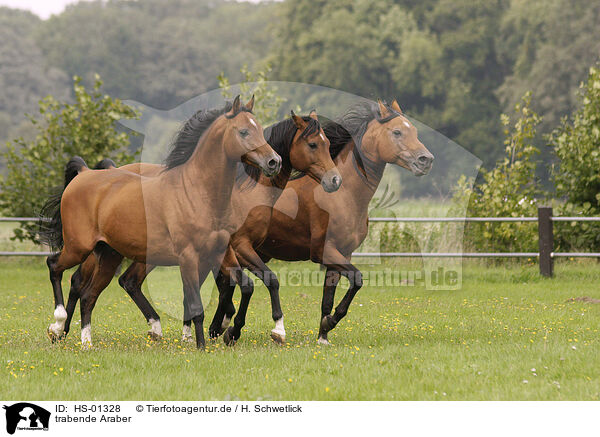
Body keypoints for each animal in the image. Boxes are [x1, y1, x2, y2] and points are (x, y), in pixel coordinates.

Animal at [59, 110, 342, 348]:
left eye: (327, 144)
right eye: (313, 144)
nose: (334, 180)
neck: (246, 194)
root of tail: (93, 173)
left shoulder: (223, 253)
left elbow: (222, 288)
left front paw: (211, 330)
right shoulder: (238, 247)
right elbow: (252, 284)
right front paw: (241, 330)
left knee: (104, 282)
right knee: (89, 280)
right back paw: (61, 328)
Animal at [210, 99, 432, 344]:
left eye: (414, 131)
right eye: (397, 132)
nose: (426, 160)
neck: (344, 195)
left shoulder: (341, 254)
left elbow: (329, 298)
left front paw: (323, 335)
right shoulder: (324, 252)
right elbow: (357, 279)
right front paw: (327, 323)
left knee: (225, 287)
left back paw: (217, 328)